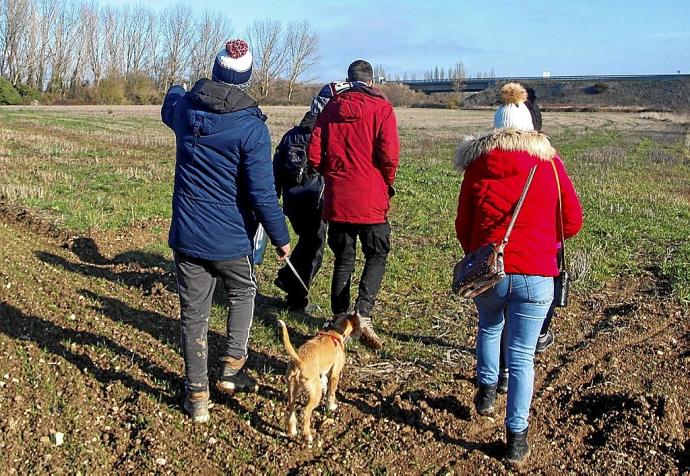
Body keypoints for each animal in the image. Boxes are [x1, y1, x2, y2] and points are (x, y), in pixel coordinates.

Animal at [276, 312, 358, 442]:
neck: (335, 332)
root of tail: (300, 361)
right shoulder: (335, 374)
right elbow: (331, 393)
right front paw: (331, 406)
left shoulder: (324, 373)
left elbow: (325, 382)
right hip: (315, 394)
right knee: (306, 412)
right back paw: (307, 436)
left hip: (292, 389)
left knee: (291, 409)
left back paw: (292, 430)